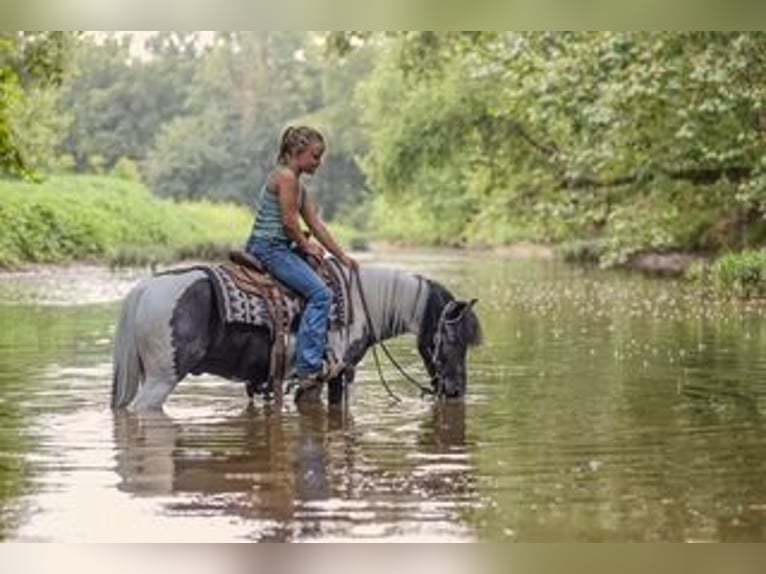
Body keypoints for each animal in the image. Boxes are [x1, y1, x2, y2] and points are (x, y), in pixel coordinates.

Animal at [111, 260, 483, 412]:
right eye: (453, 340)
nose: (456, 391)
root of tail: (144, 289)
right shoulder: (334, 374)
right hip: (161, 378)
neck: (361, 304)